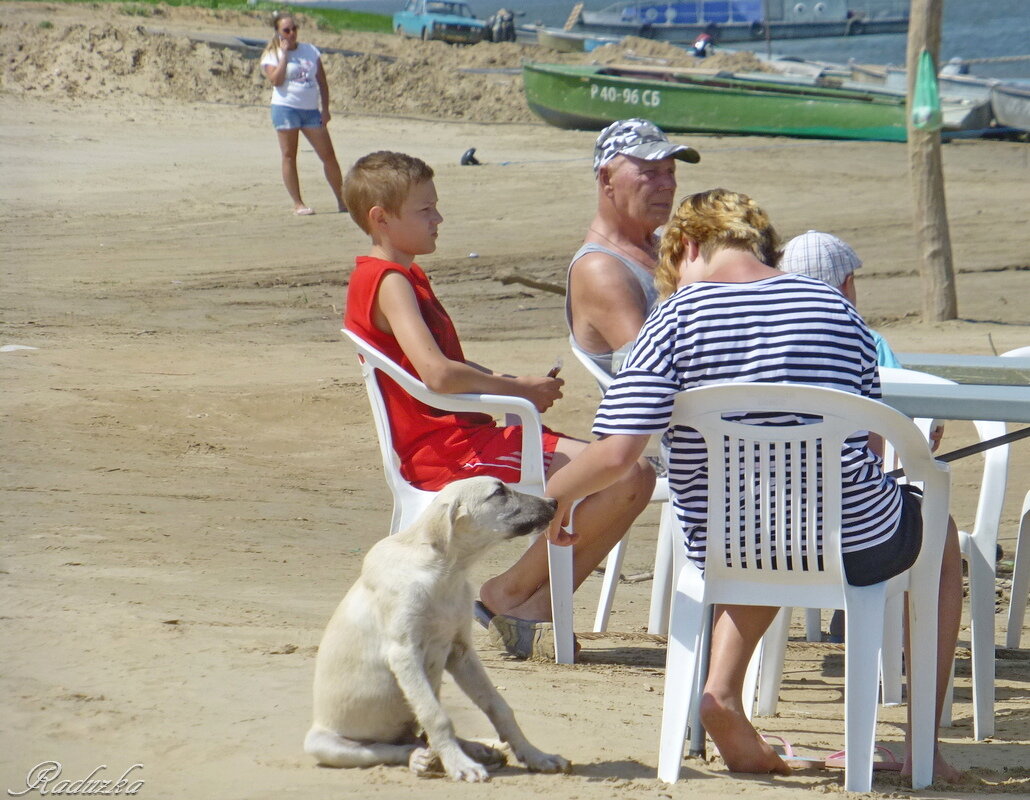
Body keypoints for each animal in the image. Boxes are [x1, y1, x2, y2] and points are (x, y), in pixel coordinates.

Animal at [304, 473, 572, 778]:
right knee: (394, 748)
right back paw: (422, 759)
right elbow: (437, 716)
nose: (554, 502)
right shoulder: (404, 654)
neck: (445, 572)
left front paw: (535, 755)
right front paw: (459, 765)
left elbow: (499, 707)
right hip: (327, 744)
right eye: (499, 492)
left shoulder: (461, 652)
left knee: (422, 738)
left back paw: (480, 749)